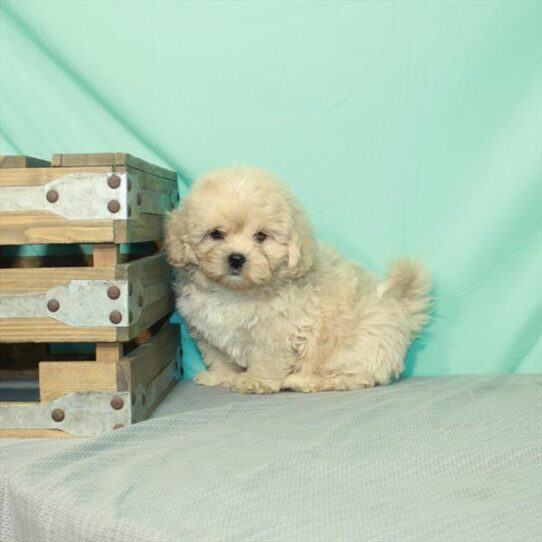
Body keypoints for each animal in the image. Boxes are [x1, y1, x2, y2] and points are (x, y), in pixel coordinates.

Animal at [168, 167, 432, 396]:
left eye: (261, 236)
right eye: (216, 234)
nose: (236, 258)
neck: (235, 292)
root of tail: (399, 310)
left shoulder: (276, 331)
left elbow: (267, 358)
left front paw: (256, 381)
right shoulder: (206, 329)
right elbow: (217, 356)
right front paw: (220, 376)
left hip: (357, 347)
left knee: (354, 377)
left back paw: (304, 381)